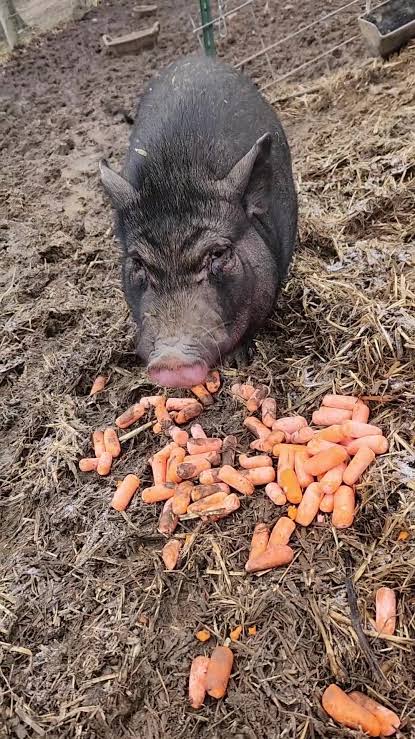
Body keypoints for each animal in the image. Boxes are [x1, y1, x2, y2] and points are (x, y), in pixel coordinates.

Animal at [100, 54, 298, 388]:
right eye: (137, 262)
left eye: (218, 253)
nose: (171, 360)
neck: (175, 174)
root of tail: (196, 58)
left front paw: (237, 361)